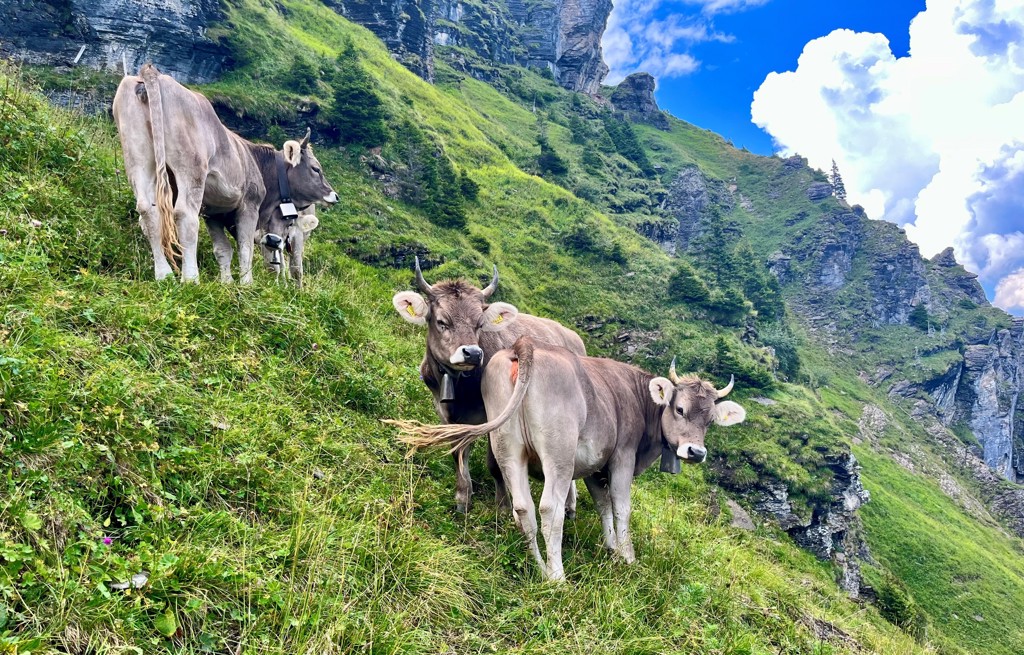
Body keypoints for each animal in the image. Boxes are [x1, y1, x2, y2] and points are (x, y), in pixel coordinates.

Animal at [112, 64, 338, 284]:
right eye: (316, 169)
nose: (335, 195)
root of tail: (152, 73)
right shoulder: (249, 204)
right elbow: (245, 247)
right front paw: (246, 284)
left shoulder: (213, 212)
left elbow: (223, 250)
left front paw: (226, 283)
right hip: (191, 168)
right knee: (185, 214)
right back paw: (190, 279)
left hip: (138, 159)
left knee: (148, 210)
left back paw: (163, 275)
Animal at [391, 258, 587, 515]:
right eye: (442, 321)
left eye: (479, 323)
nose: (472, 353)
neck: (462, 390)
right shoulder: (446, 414)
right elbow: (458, 452)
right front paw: (463, 498)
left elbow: (494, 462)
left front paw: (502, 506)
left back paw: (569, 506)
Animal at [392, 337, 746, 582]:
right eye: (680, 409)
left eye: (710, 421)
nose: (696, 452)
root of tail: (526, 344)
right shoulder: (621, 456)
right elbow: (620, 506)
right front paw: (627, 556)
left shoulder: (593, 465)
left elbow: (602, 504)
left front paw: (610, 547)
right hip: (558, 453)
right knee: (550, 508)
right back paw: (558, 576)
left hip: (508, 447)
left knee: (523, 508)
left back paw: (540, 568)